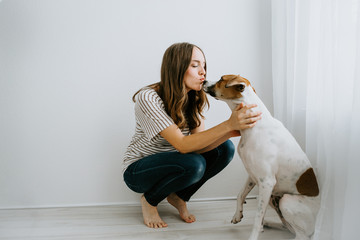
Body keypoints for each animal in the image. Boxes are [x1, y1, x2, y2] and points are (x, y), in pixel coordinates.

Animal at [204, 75, 320, 240]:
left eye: (221, 79)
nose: (203, 81)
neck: (255, 125)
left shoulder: (267, 182)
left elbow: (257, 217)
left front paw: (253, 234)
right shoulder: (253, 176)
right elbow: (240, 195)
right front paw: (238, 215)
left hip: (286, 200)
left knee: (300, 235)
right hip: (274, 197)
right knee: (287, 226)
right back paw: (269, 223)